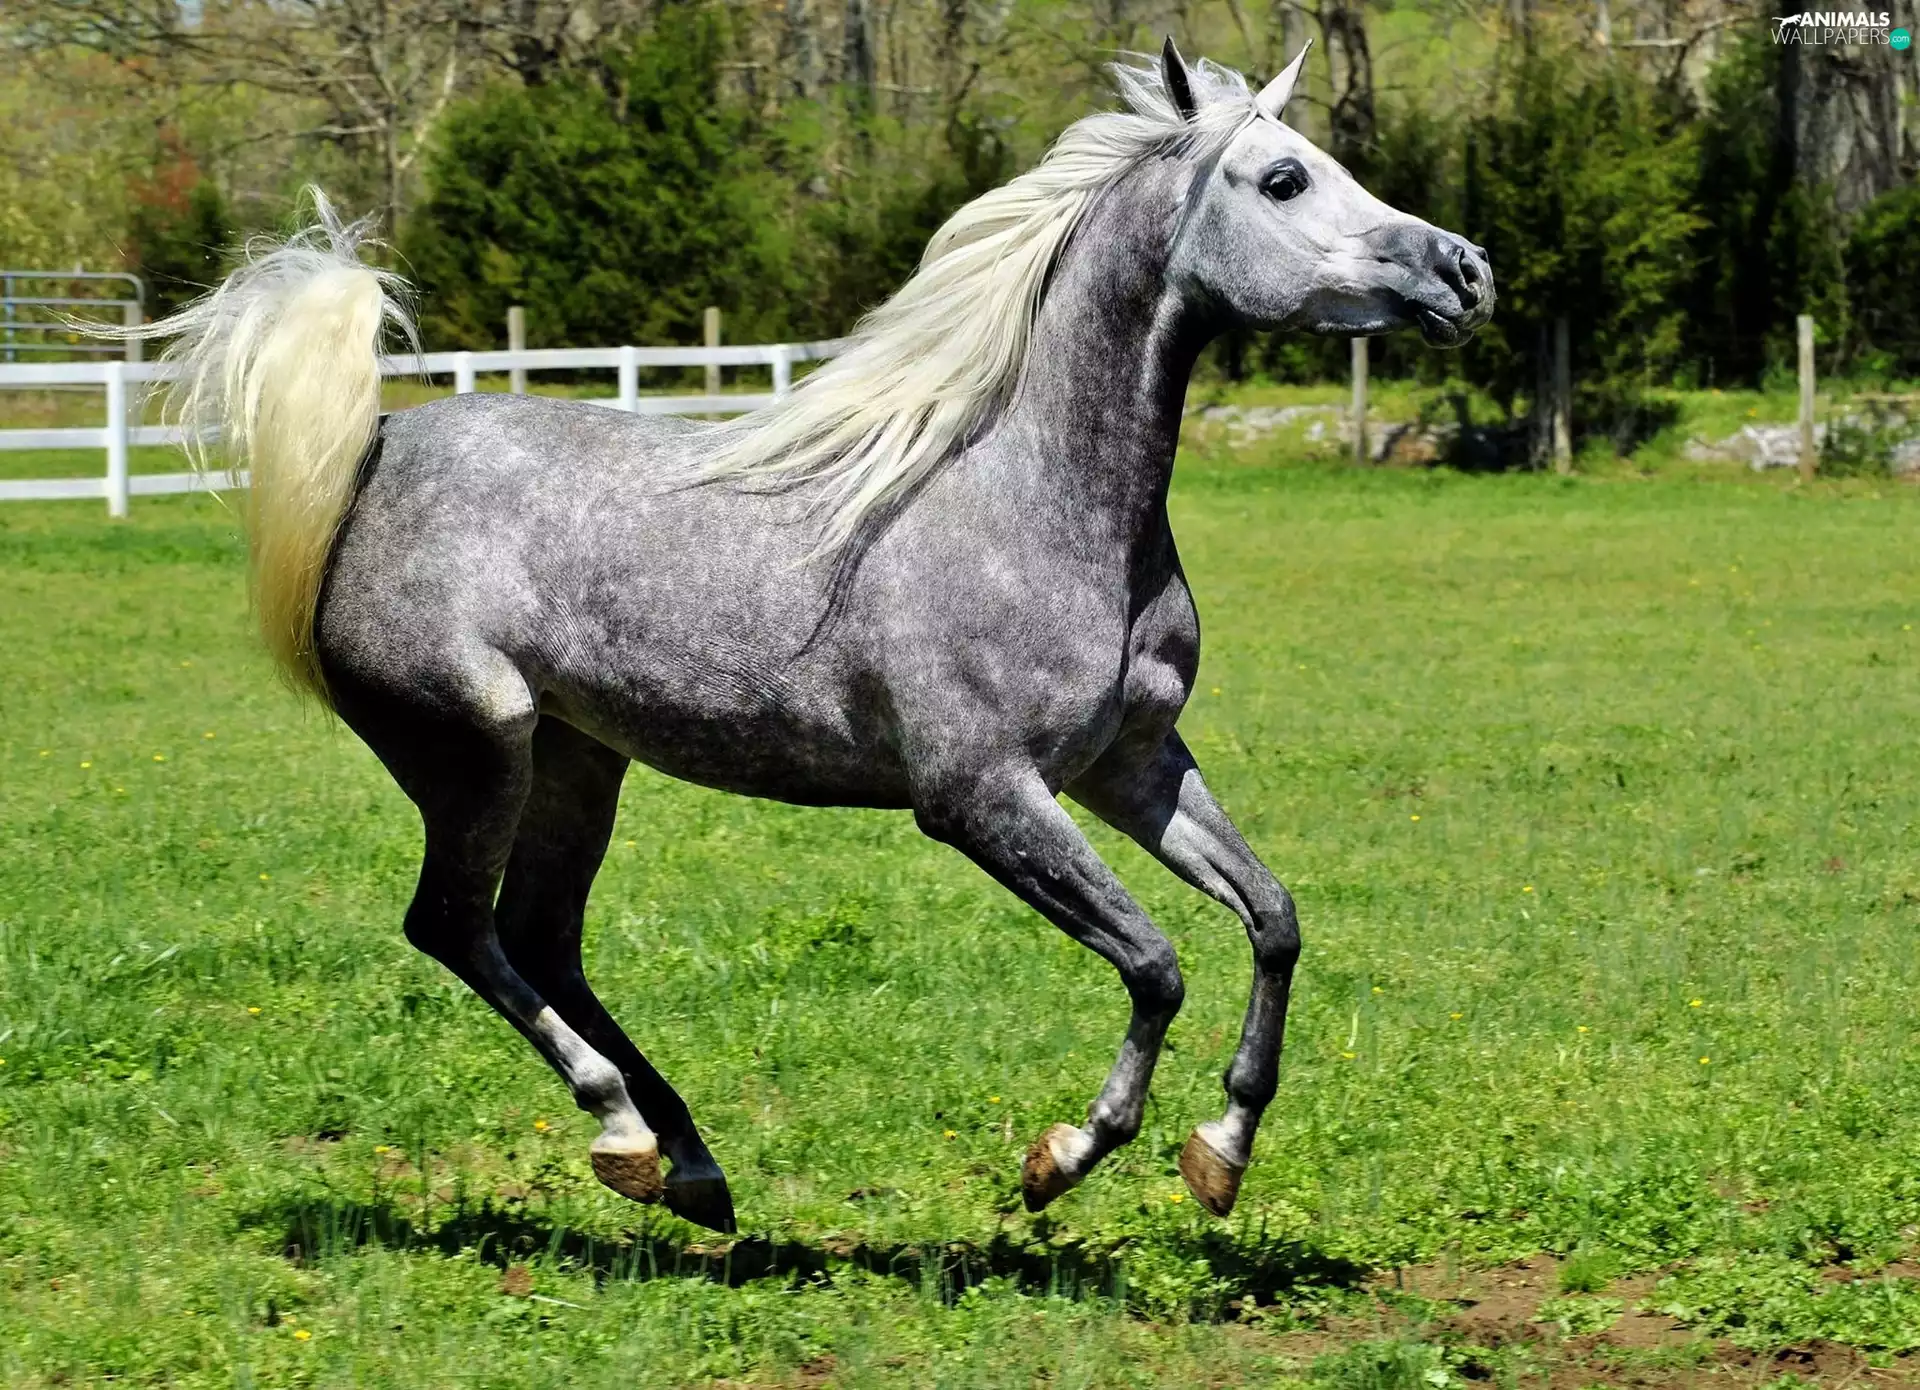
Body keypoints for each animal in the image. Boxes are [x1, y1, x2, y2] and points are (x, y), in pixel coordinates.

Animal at [128, 39, 1493, 1234]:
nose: (1466, 270)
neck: (1031, 498)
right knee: (456, 928)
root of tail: (368, 455)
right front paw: (1062, 1157)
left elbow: (1273, 919)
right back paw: (623, 1134)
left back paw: (690, 1165)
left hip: (580, 760)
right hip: (474, 753)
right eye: (1283, 179)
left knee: (540, 938)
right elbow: (1156, 962)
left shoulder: (1131, 766)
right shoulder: (980, 795)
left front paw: (1221, 1155)